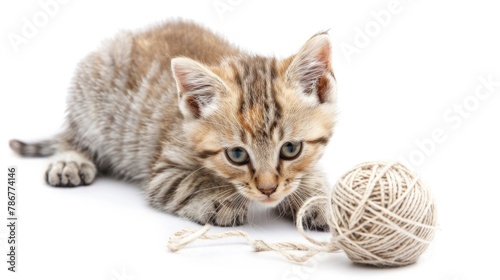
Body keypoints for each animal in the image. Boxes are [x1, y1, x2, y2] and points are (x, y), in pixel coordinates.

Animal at [9, 20, 336, 230]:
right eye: (237, 155)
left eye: (291, 149)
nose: (268, 190)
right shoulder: (164, 171)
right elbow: (192, 182)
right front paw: (221, 199)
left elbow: (311, 175)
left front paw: (321, 200)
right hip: (89, 101)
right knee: (73, 137)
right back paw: (71, 161)